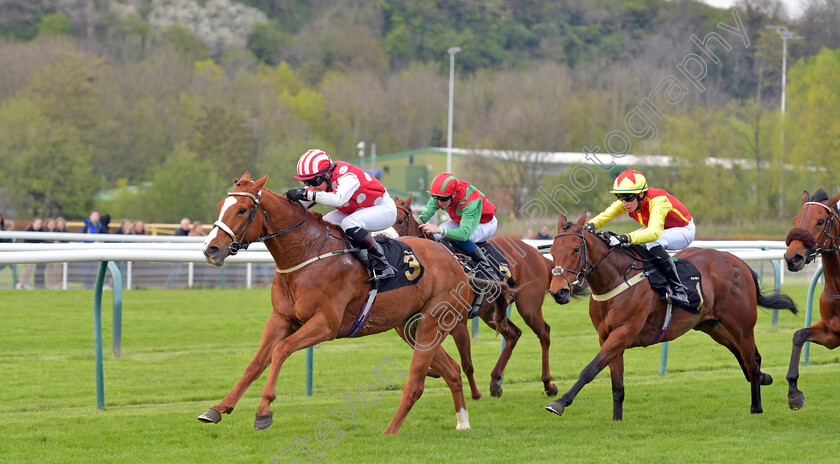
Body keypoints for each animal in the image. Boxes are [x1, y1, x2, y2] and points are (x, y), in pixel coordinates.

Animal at [199, 171, 512, 436]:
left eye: (242, 210)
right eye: (220, 205)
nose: (210, 249)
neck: (307, 254)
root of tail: (457, 264)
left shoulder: (325, 324)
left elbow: (281, 351)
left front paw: (264, 411)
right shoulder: (281, 319)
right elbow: (256, 362)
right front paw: (218, 408)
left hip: (433, 323)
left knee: (417, 382)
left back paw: (390, 432)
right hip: (410, 328)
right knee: (452, 370)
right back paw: (462, 422)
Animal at [392, 196, 556, 398]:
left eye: (400, 220)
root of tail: (540, 257)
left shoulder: (458, 324)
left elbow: (467, 364)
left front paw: (475, 393)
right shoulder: (412, 326)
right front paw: (433, 372)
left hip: (529, 308)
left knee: (544, 334)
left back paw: (548, 384)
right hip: (491, 313)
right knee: (514, 334)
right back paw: (495, 382)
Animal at [540, 214, 796, 420]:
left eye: (575, 249)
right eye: (551, 252)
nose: (558, 291)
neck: (616, 279)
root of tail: (739, 262)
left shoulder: (623, 333)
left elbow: (590, 369)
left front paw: (559, 403)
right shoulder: (607, 337)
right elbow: (617, 385)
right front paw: (616, 420)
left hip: (741, 324)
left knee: (750, 359)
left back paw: (756, 406)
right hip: (710, 324)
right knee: (744, 353)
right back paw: (763, 377)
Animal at [780, 188, 840, 410]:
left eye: (820, 221)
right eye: (796, 219)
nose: (793, 258)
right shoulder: (833, 332)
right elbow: (799, 335)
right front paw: (794, 392)